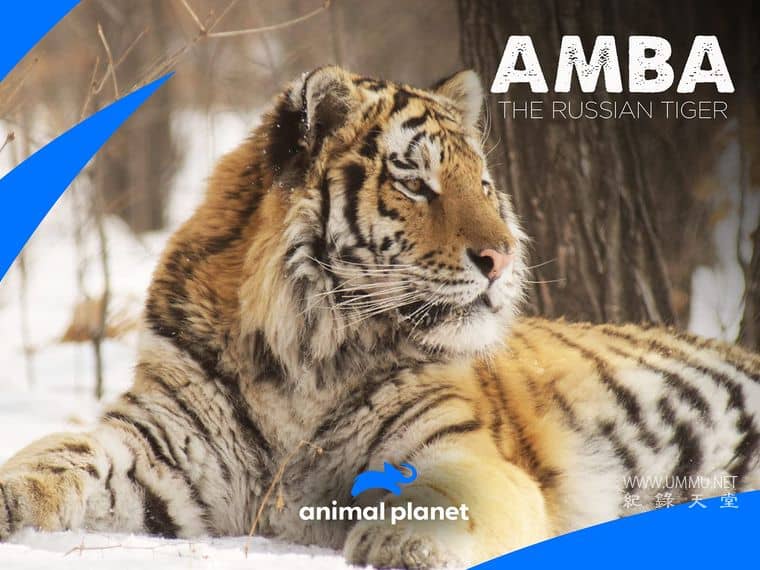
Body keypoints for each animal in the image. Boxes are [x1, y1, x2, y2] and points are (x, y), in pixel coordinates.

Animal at [1, 65, 758, 569]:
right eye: (416, 182)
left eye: (484, 185)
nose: (505, 257)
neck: (302, 362)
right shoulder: (157, 449)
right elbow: (56, 454)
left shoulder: (462, 448)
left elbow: (443, 495)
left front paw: (401, 541)